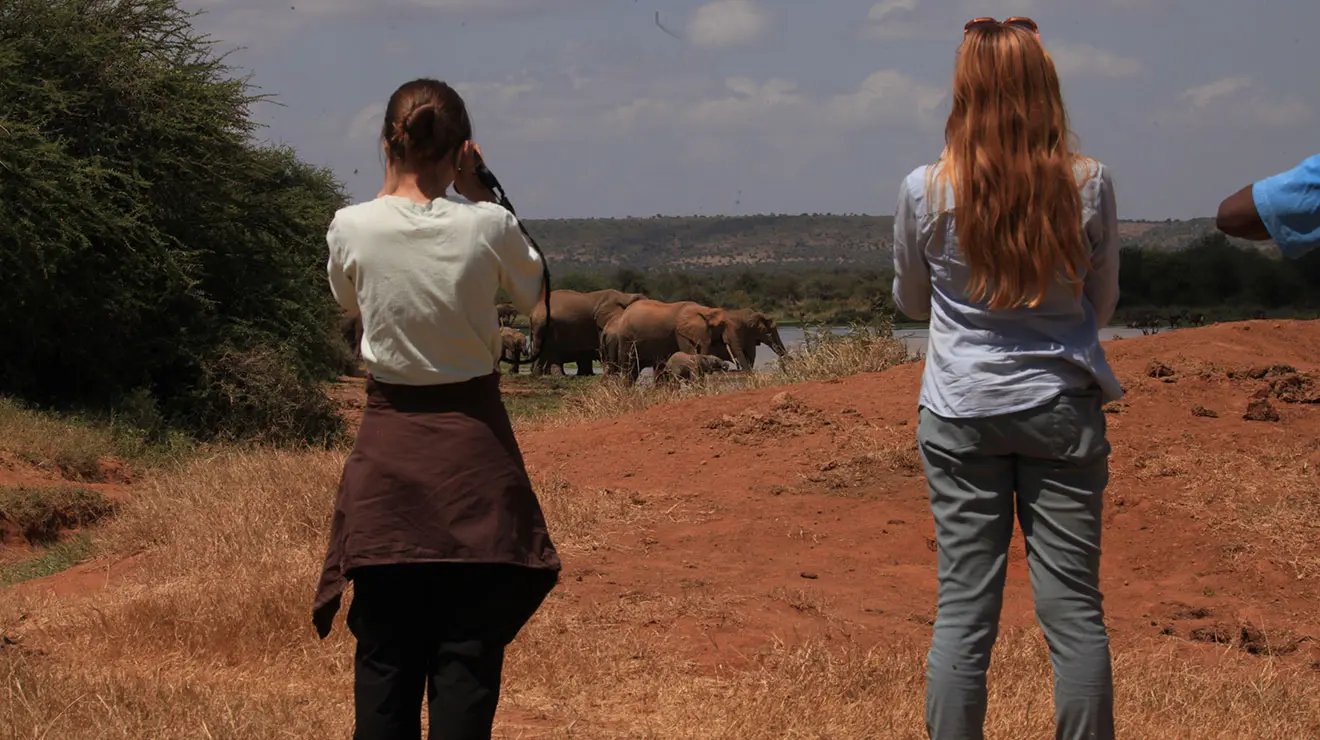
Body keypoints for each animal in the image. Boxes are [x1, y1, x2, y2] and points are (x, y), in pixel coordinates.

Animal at [600, 300, 730, 385]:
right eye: (720, 326)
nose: (726, 366)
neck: (704, 310)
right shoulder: (680, 332)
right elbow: (690, 353)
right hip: (626, 340)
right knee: (628, 368)